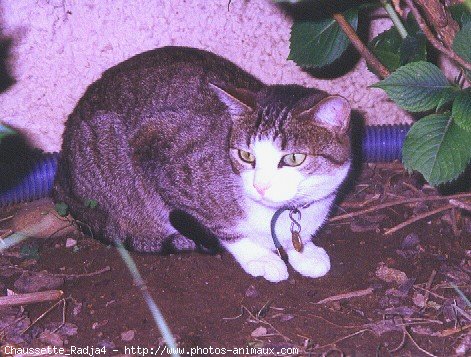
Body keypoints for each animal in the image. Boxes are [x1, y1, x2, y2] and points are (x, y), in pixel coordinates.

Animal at [53, 46, 352, 282]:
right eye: (246, 156)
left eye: (293, 158)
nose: (260, 187)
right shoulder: (157, 150)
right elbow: (224, 230)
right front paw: (260, 257)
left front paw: (303, 251)